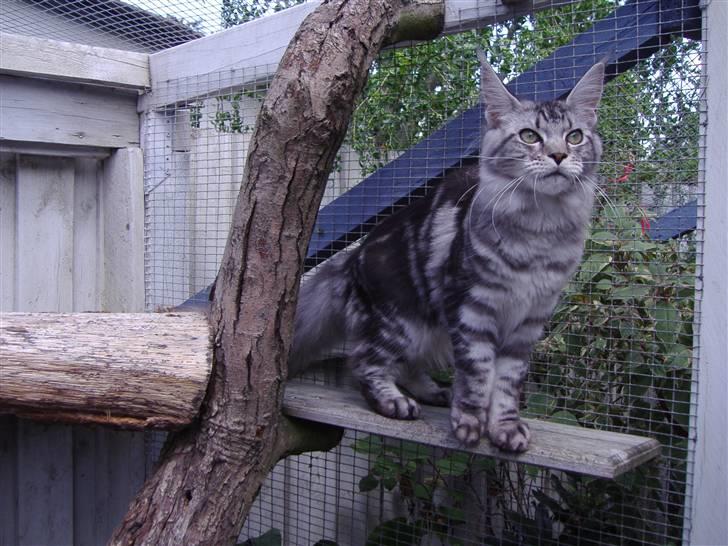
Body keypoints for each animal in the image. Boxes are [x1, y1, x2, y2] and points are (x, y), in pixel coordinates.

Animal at [288, 50, 604, 450]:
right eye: (529, 136)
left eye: (574, 136)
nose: (560, 155)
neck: (540, 230)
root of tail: (352, 258)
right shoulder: (472, 308)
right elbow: (478, 374)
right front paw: (468, 424)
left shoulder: (529, 320)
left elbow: (507, 383)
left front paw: (504, 428)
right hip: (399, 323)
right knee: (364, 363)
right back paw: (395, 402)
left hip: (428, 330)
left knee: (406, 365)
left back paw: (432, 392)